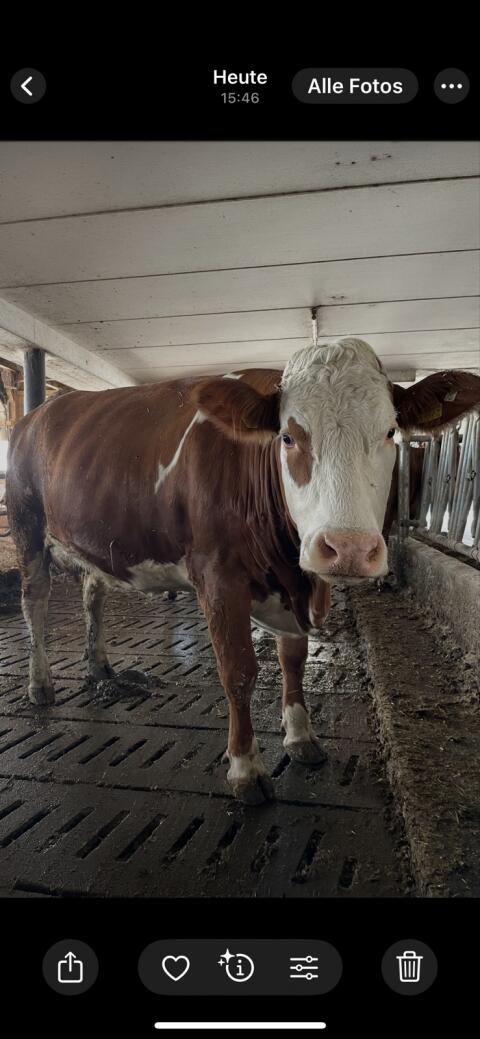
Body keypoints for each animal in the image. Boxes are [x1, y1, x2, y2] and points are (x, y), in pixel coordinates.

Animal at [6, 338, 480, 804]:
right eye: (288, 437)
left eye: (390, 432)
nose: (348, 548)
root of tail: (40, 411)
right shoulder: (218, 577)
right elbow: (238, 670)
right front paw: (245, 766)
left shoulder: (291, 587)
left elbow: (293, 659)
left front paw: (301, 735)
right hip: (26, 524)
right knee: (35, 602)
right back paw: (40, 684)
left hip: (94, 538)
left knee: (93, 593)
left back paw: (100, 665)